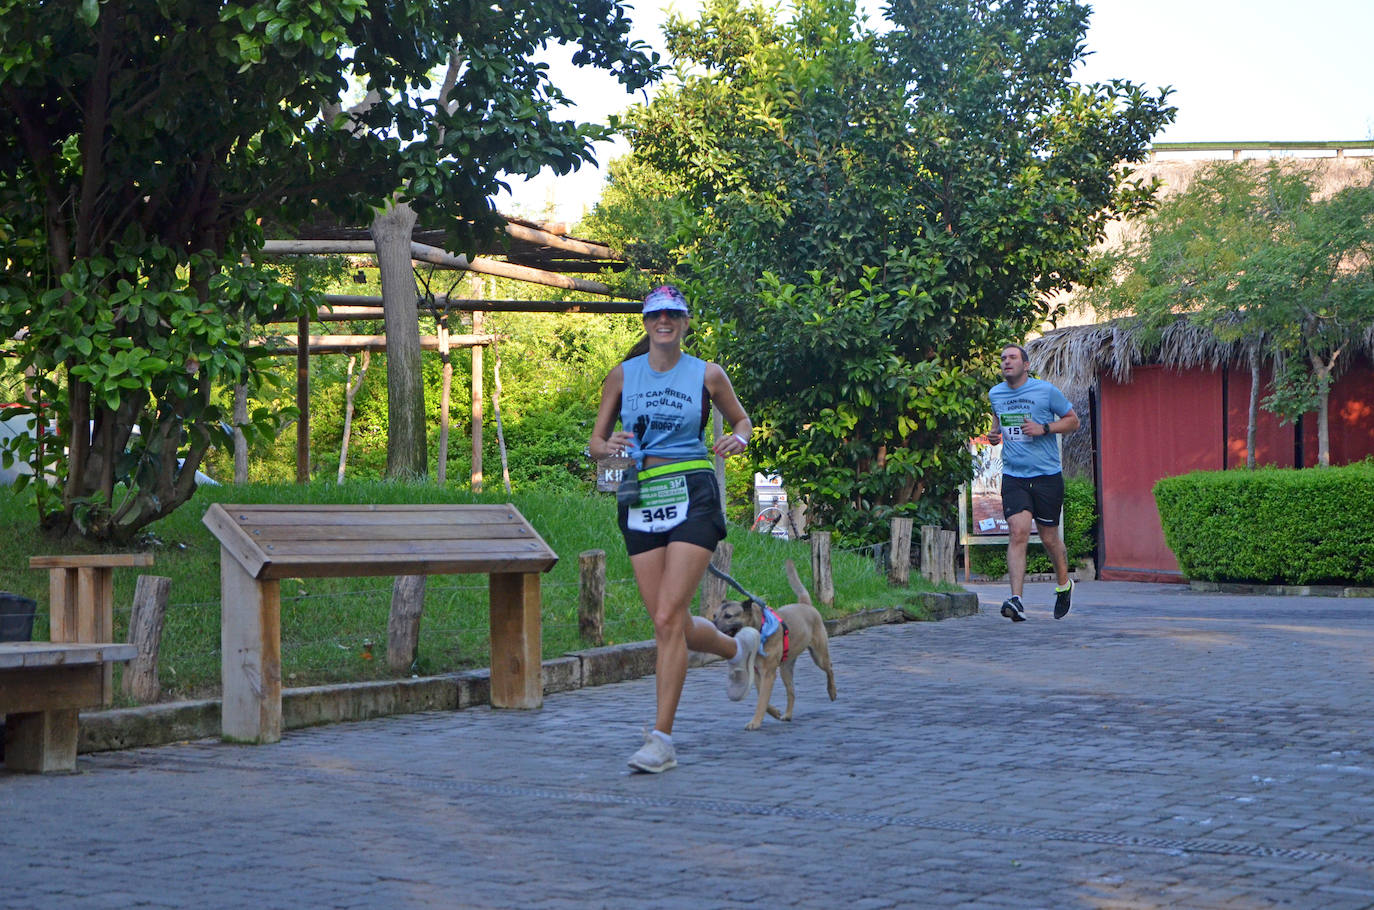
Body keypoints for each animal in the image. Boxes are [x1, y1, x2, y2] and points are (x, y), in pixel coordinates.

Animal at [719, 560, 835, 731]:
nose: (711, 624)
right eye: (715, 615)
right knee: (792, 692)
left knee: (830, 669)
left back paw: (832, 692)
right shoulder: (758, 673)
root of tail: (806, 604)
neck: (760, 629)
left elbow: (762, 700)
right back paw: (787, 714)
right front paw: (774, 712)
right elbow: (762, 698)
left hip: (819, 655)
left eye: (728, 616)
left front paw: (755, 722)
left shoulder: (768, 674)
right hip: (786, 669)